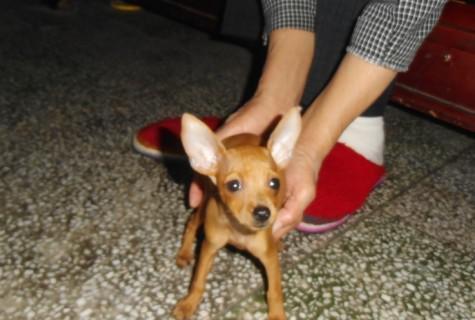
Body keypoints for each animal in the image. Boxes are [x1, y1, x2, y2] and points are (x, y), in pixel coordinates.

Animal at [174, 107, 302, 320]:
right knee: (191, 222)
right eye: (233, 185)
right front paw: (189, 303)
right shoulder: (209, 247)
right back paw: (184, 253)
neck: (239, 230)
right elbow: (198, 281)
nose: (263, 213)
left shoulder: (269, 257)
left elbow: (275, 291)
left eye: (274, 183)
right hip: (204, 204)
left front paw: (277, 315)